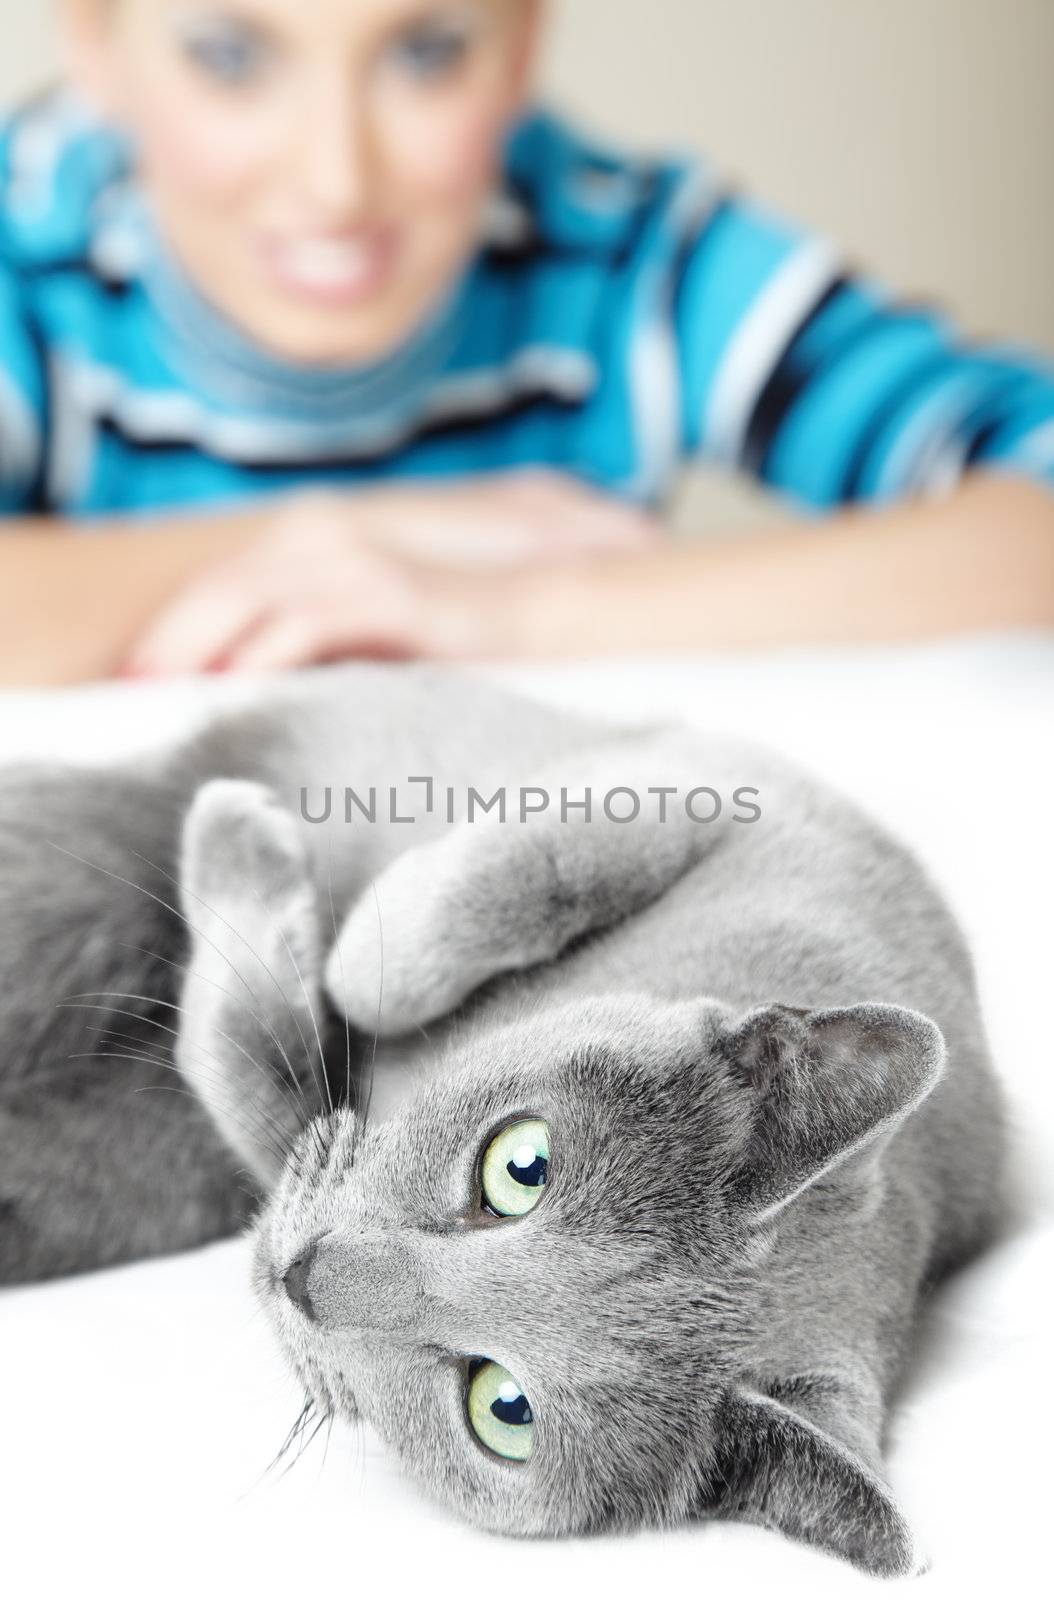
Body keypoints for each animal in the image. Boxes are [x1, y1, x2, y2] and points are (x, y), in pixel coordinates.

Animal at [0, 662, 1004, 1574]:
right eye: (523, 1168)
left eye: (503, 1409)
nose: (305, 1279)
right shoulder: (740, 789)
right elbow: (517, 883)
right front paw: (295, 884)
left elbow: (250, 1081)